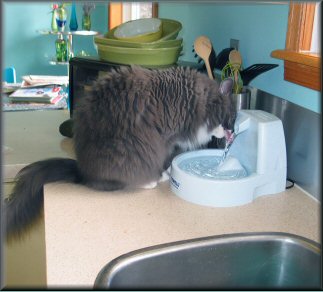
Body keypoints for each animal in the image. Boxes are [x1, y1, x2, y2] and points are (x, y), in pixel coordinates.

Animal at [3, 65, 237, 237]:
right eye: (233, 117)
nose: (234, 132)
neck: (199, 99)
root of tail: (81, 171)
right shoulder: (166, 139)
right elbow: (163, 161)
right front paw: (164, 174)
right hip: (136, 150)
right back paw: (148, 182)